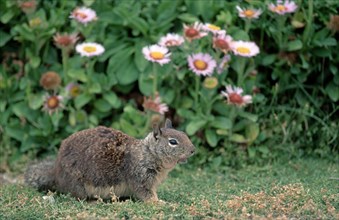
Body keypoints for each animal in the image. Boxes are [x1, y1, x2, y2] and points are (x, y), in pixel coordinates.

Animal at [24, 119, 197, 202]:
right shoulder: (139, 177)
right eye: (173, 142)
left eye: (184, 133)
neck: (147, 153)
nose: (193, 150)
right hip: (78, 185)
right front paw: (159, 202)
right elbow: (145, 194)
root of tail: (56, 171)